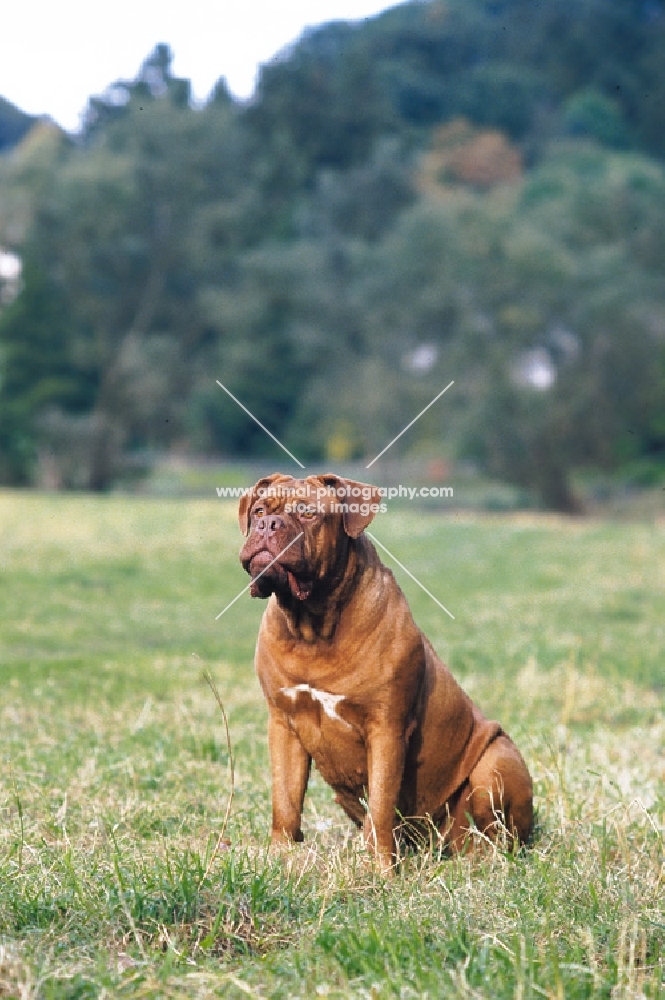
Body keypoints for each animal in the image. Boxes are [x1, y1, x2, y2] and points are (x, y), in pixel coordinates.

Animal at [236, 472, 532, 872]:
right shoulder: (284, 724)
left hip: (496, 761)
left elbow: (379, 806)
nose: (268, 525)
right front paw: (280, 859)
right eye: (259, 511)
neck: (314, 626)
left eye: (309, 514)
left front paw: (380, 871)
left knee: (497, 835)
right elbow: (285, 801)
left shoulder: (386, 729)